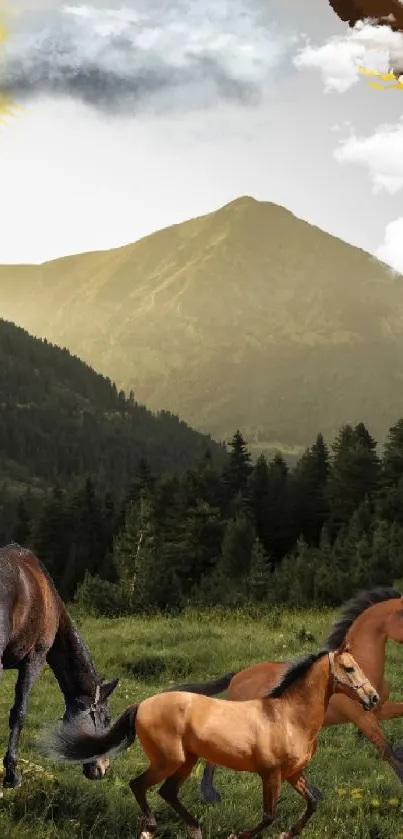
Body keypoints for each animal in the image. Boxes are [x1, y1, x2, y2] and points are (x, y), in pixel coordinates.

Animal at [41, 644, 378, 839]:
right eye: (349, 668)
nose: (373, 698)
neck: (288, 717)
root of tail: (143, 704)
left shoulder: (293, 774)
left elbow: (312, 804)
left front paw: (289, 834)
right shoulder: (271, 774)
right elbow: (268, 816)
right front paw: (238, 836)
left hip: (186, 761)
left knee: (167, 792)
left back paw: (194, 829)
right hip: (169, 760)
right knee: (139, 785)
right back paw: (150, 829)